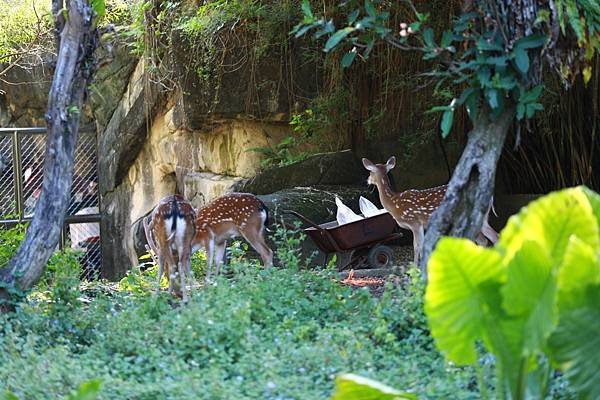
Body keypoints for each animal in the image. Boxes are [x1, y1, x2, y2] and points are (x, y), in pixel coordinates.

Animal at [360, 156, 496, 266]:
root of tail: (490, 196)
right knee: (490, 237)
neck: (394, 203)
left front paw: (415, 268)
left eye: (370, 171)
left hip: (465, 215)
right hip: (482, 217)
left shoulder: (414, 221)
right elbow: (423, 245)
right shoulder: (421, 225)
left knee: (482, 239)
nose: (367, 180)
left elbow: (417, 245)